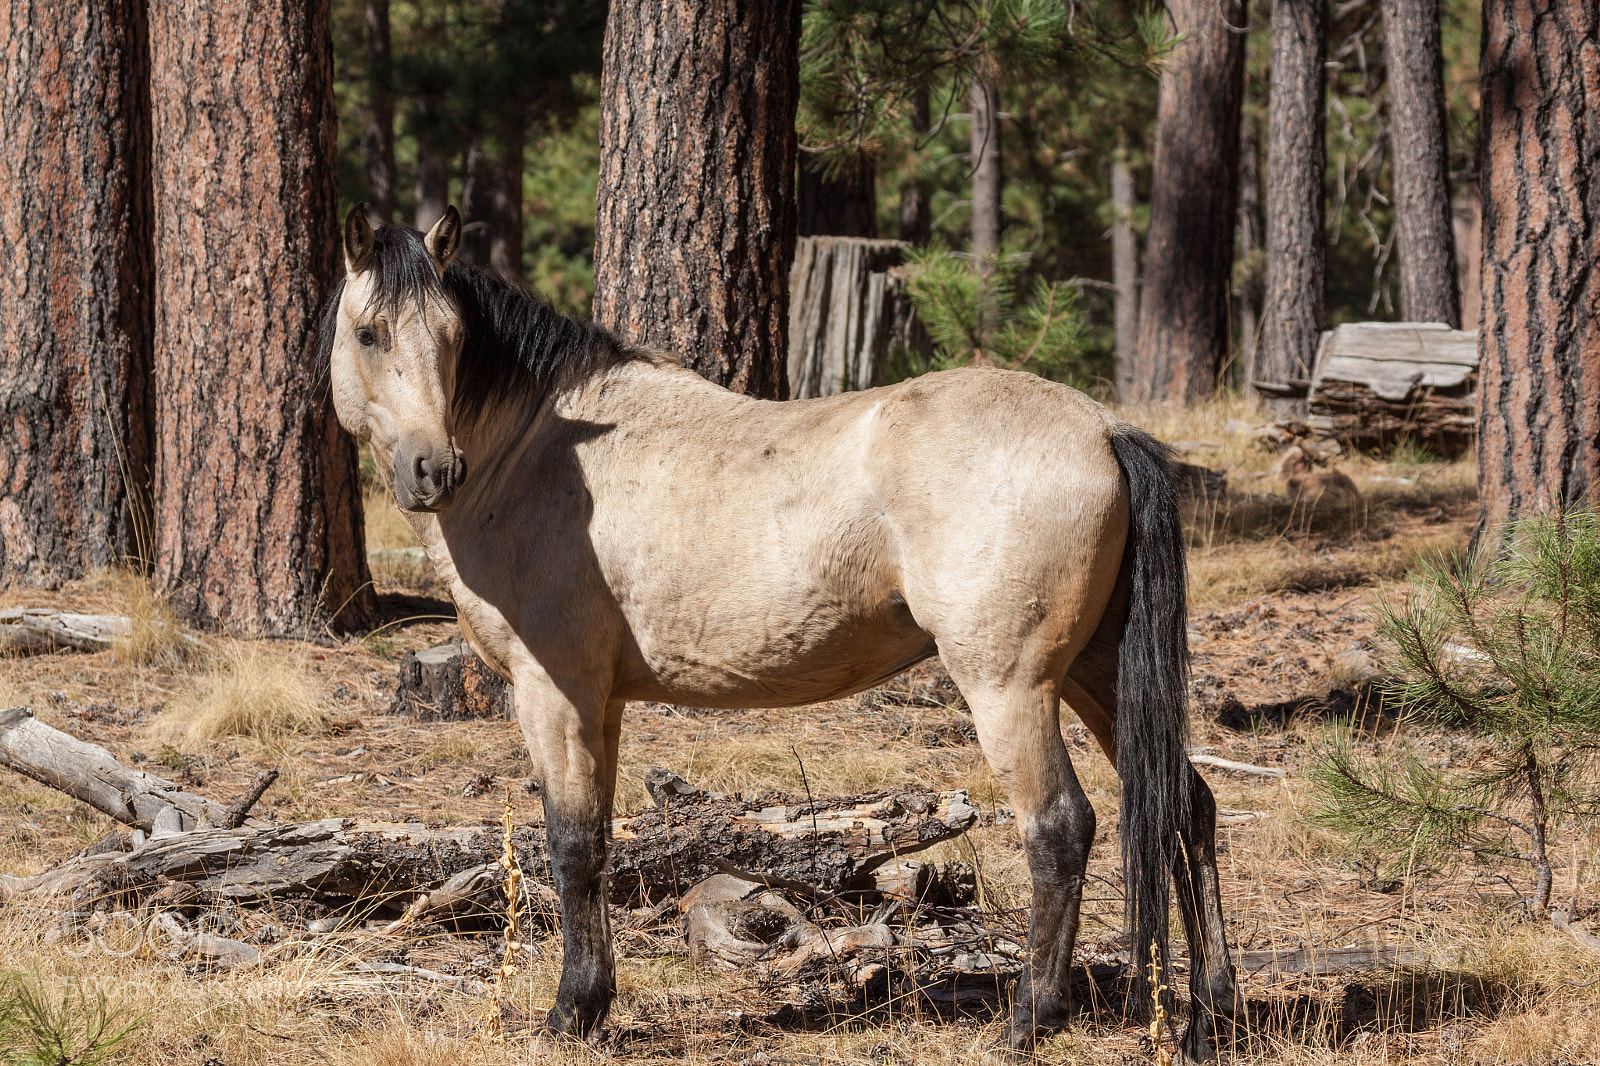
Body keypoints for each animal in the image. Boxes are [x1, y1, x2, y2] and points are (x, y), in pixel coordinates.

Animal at [319, 204, 1241, 1060]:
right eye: (370, 333)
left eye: (451, 338)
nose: (435, 470)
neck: (545, 457)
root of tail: (1105, 429)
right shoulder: (601, 703)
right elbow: (603, 842)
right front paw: (595, 1000)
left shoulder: (556, 693)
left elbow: (573, 846)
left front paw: (572, 1013)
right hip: (1097, 672)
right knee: (1185, 806)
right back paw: (1211, 1013)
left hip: (1012, 687)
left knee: (1060, 827)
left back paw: (1030, 1020)